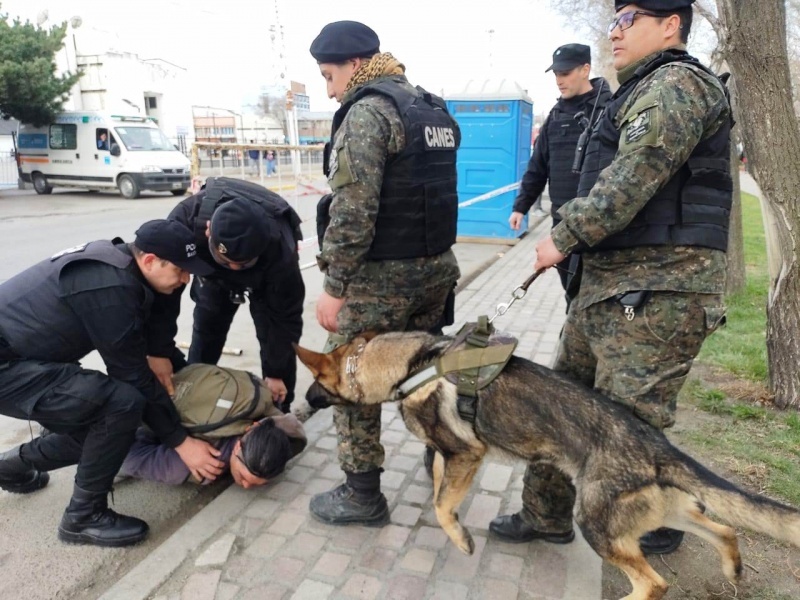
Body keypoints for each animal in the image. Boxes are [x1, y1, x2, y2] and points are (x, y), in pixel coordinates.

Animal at [296, 332, 800, 600]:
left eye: (316, 382)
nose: (302, 402)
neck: (410, 364)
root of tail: (656, 446)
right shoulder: (449, 455)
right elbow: (440, 485)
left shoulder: (467, 453)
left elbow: (440, 505)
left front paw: (460, 540)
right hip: (658, 512)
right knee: (725, 529)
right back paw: (733, 570)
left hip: (597, 526)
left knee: (655, 583)